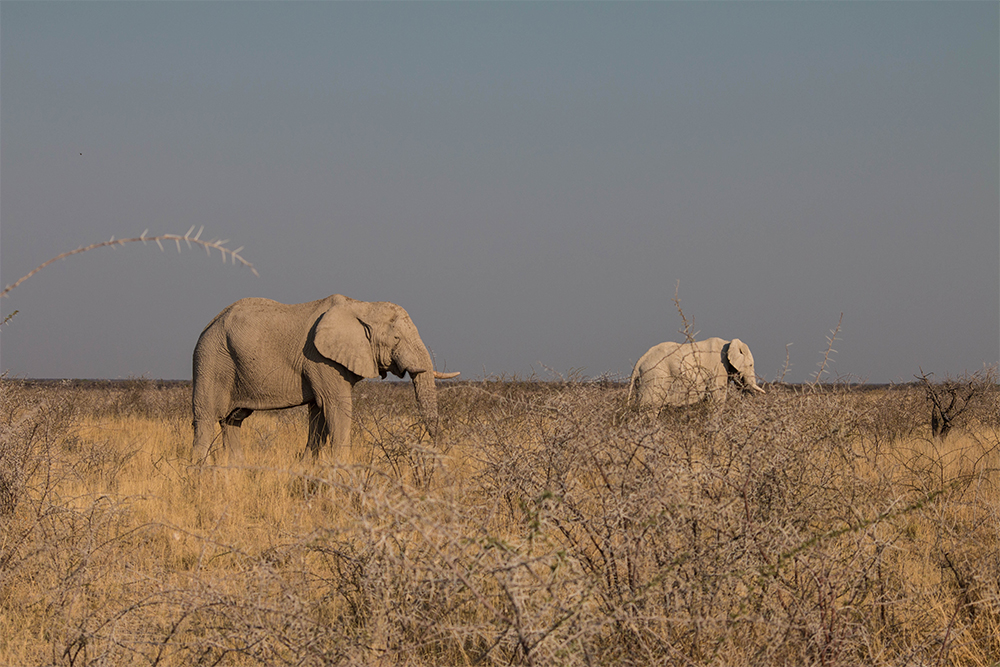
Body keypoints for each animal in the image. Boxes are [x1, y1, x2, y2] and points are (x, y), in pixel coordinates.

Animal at [189, 294, 458, 462]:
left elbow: (318, 411)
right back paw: (199, 474)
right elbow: (336, 407)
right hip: (210, 359)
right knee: (206, 419)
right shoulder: (320, 358)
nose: (441, 453)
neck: (362, 306)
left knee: (232, 421)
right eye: (396, 339)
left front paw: (309, 465)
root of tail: (209, 324)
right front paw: (342, 467)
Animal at [628, 340, 760, 412]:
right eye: (750, 365)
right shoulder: (718, 367)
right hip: (653, 378)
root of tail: (639, 362)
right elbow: (718, 396)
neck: (729, 343)